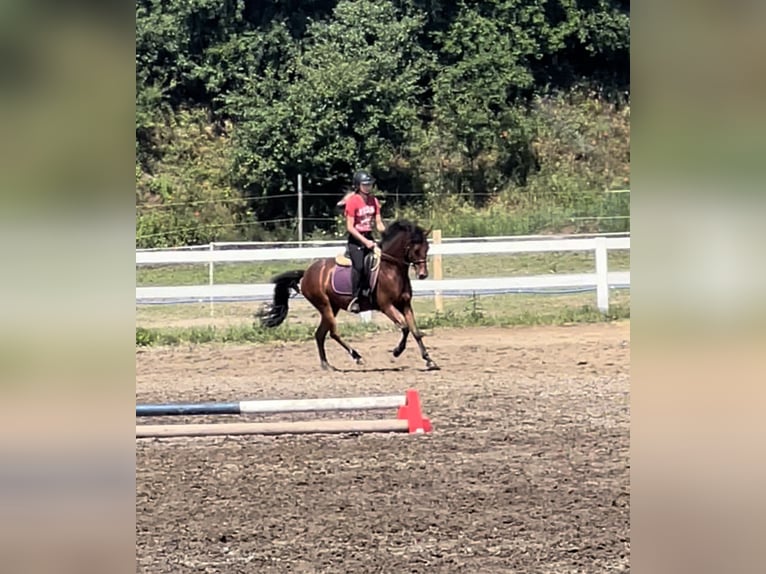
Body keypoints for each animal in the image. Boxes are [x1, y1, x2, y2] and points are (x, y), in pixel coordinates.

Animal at [258, 220, 440, 374]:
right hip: (324, 305)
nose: (423, 275)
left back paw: (327, 365)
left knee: (320, 334)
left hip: (333, 307)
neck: (391, 269)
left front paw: (429, 360)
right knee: (333, 333)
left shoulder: (405, 304)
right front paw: (396, 352)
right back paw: (357, 356)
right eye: (415, 249)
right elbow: (405, 328)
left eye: (427, 248)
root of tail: (307, 272)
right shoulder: (386, 306)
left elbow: (415, 331)